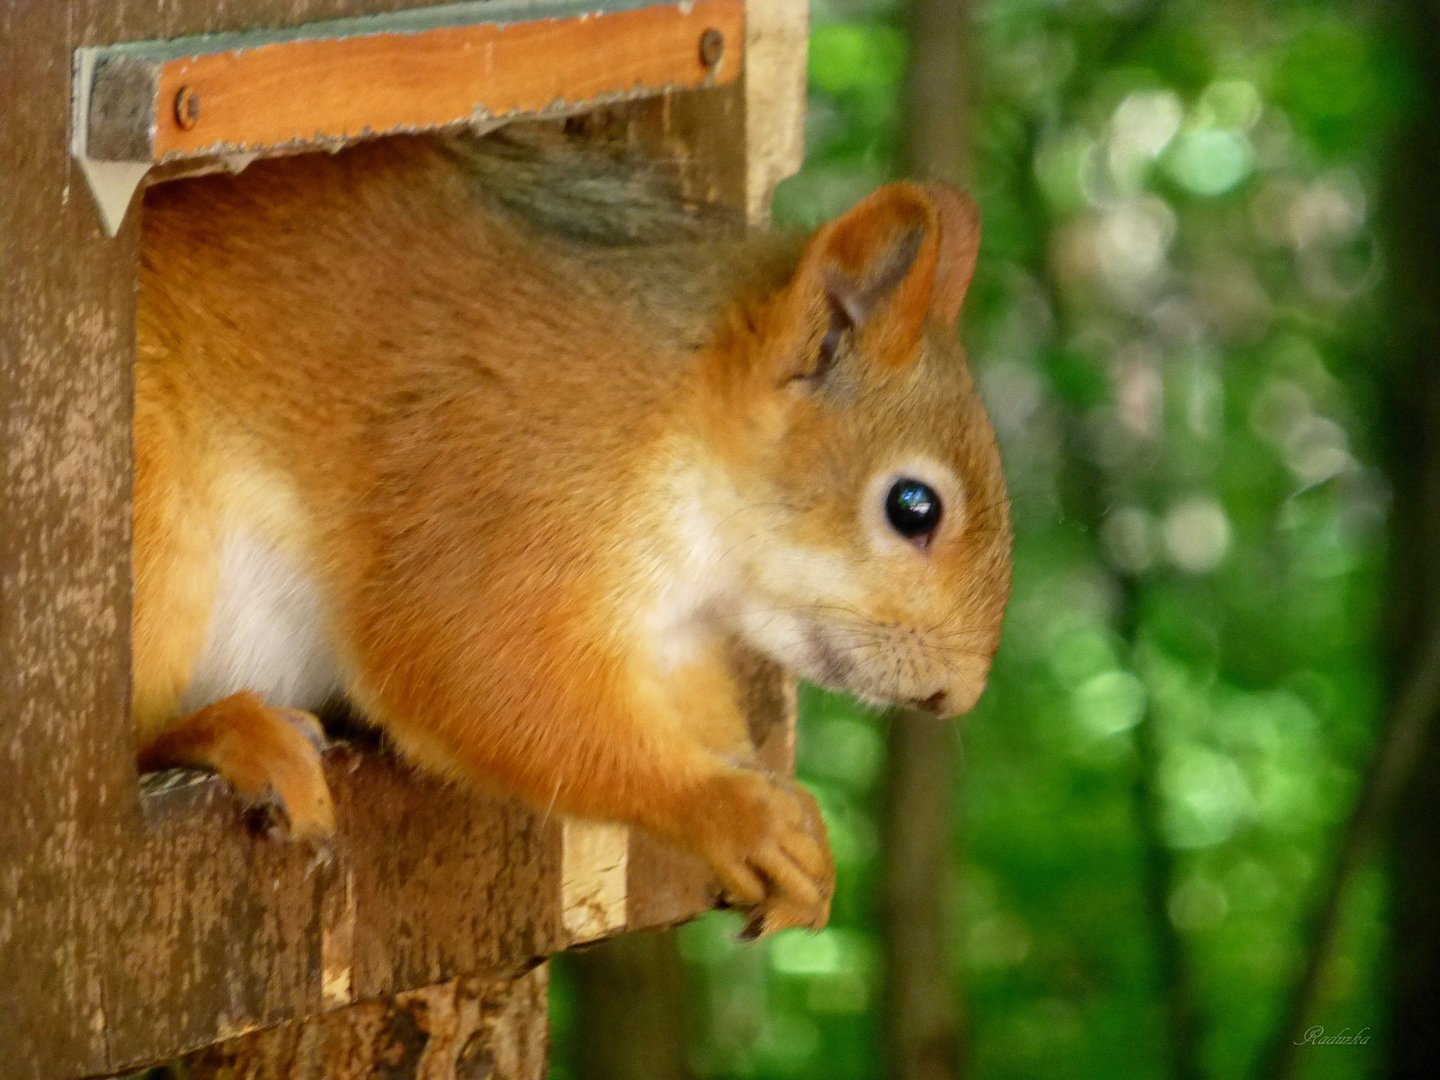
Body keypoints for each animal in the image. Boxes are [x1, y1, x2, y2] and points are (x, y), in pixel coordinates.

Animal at [135, 126, 1013, 938]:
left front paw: (791, 821)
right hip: (156, 530)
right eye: (912, 507)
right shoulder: (494, 482)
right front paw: (731, 812)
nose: (958, 697)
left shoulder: (670, 634)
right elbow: (474, 669)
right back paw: (235, 732)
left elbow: (694, 711)